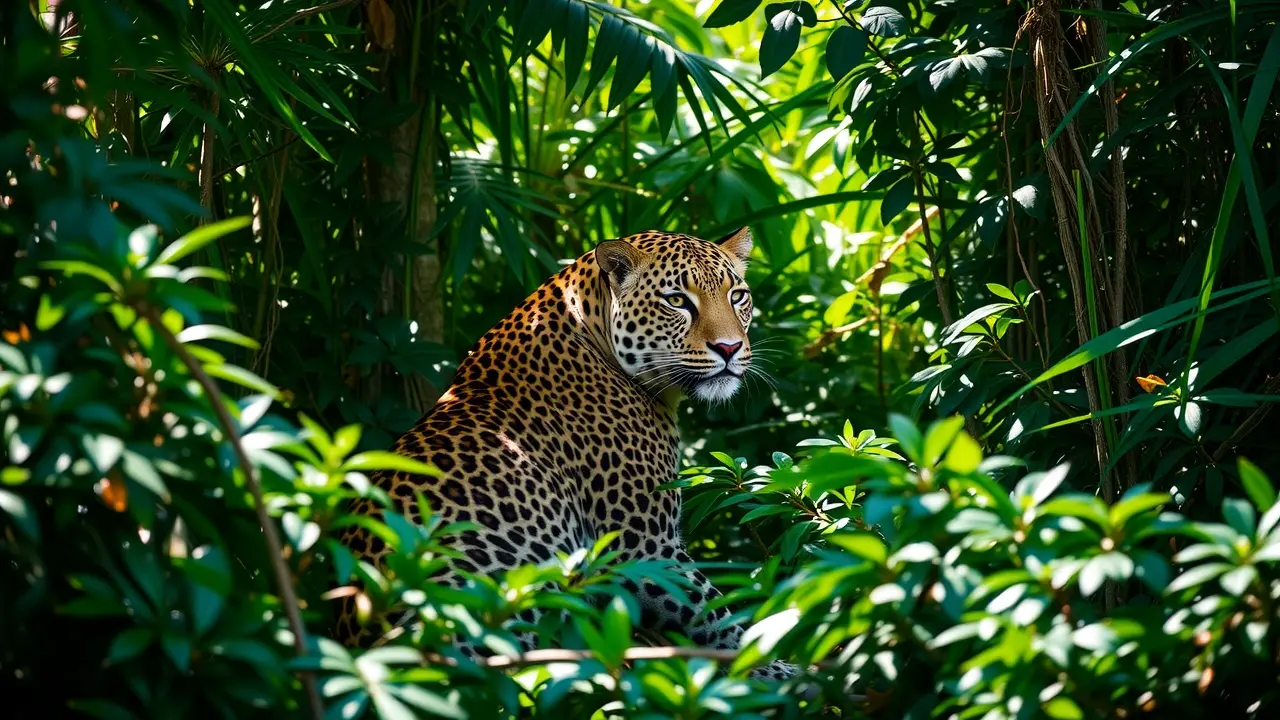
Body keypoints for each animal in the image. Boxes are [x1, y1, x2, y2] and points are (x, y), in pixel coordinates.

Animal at [333, 228, 795, 680]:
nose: (730, 348)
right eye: (677, 300)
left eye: (738, 296)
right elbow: (719, 622)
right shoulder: (643, 548)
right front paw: (781, 670)